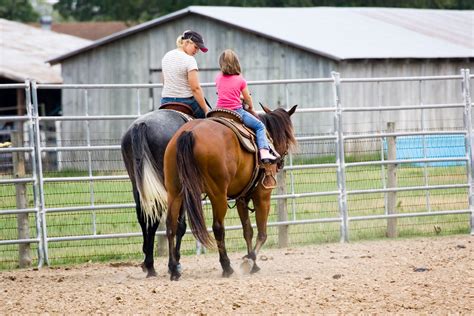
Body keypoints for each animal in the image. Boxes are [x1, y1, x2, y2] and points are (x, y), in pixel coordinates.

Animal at [163, 105, 296, 280]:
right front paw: (250, 260)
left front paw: (253, 263)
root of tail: (189, 132)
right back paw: (226, 266)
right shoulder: (262, 196)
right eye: (288, 136)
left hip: (175, 191)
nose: (279, 161)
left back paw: (173, 269)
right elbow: (262, 233)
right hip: (217, 194)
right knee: (218, 228)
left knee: (171, 225)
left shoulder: (242, 198)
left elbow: (248, 231)